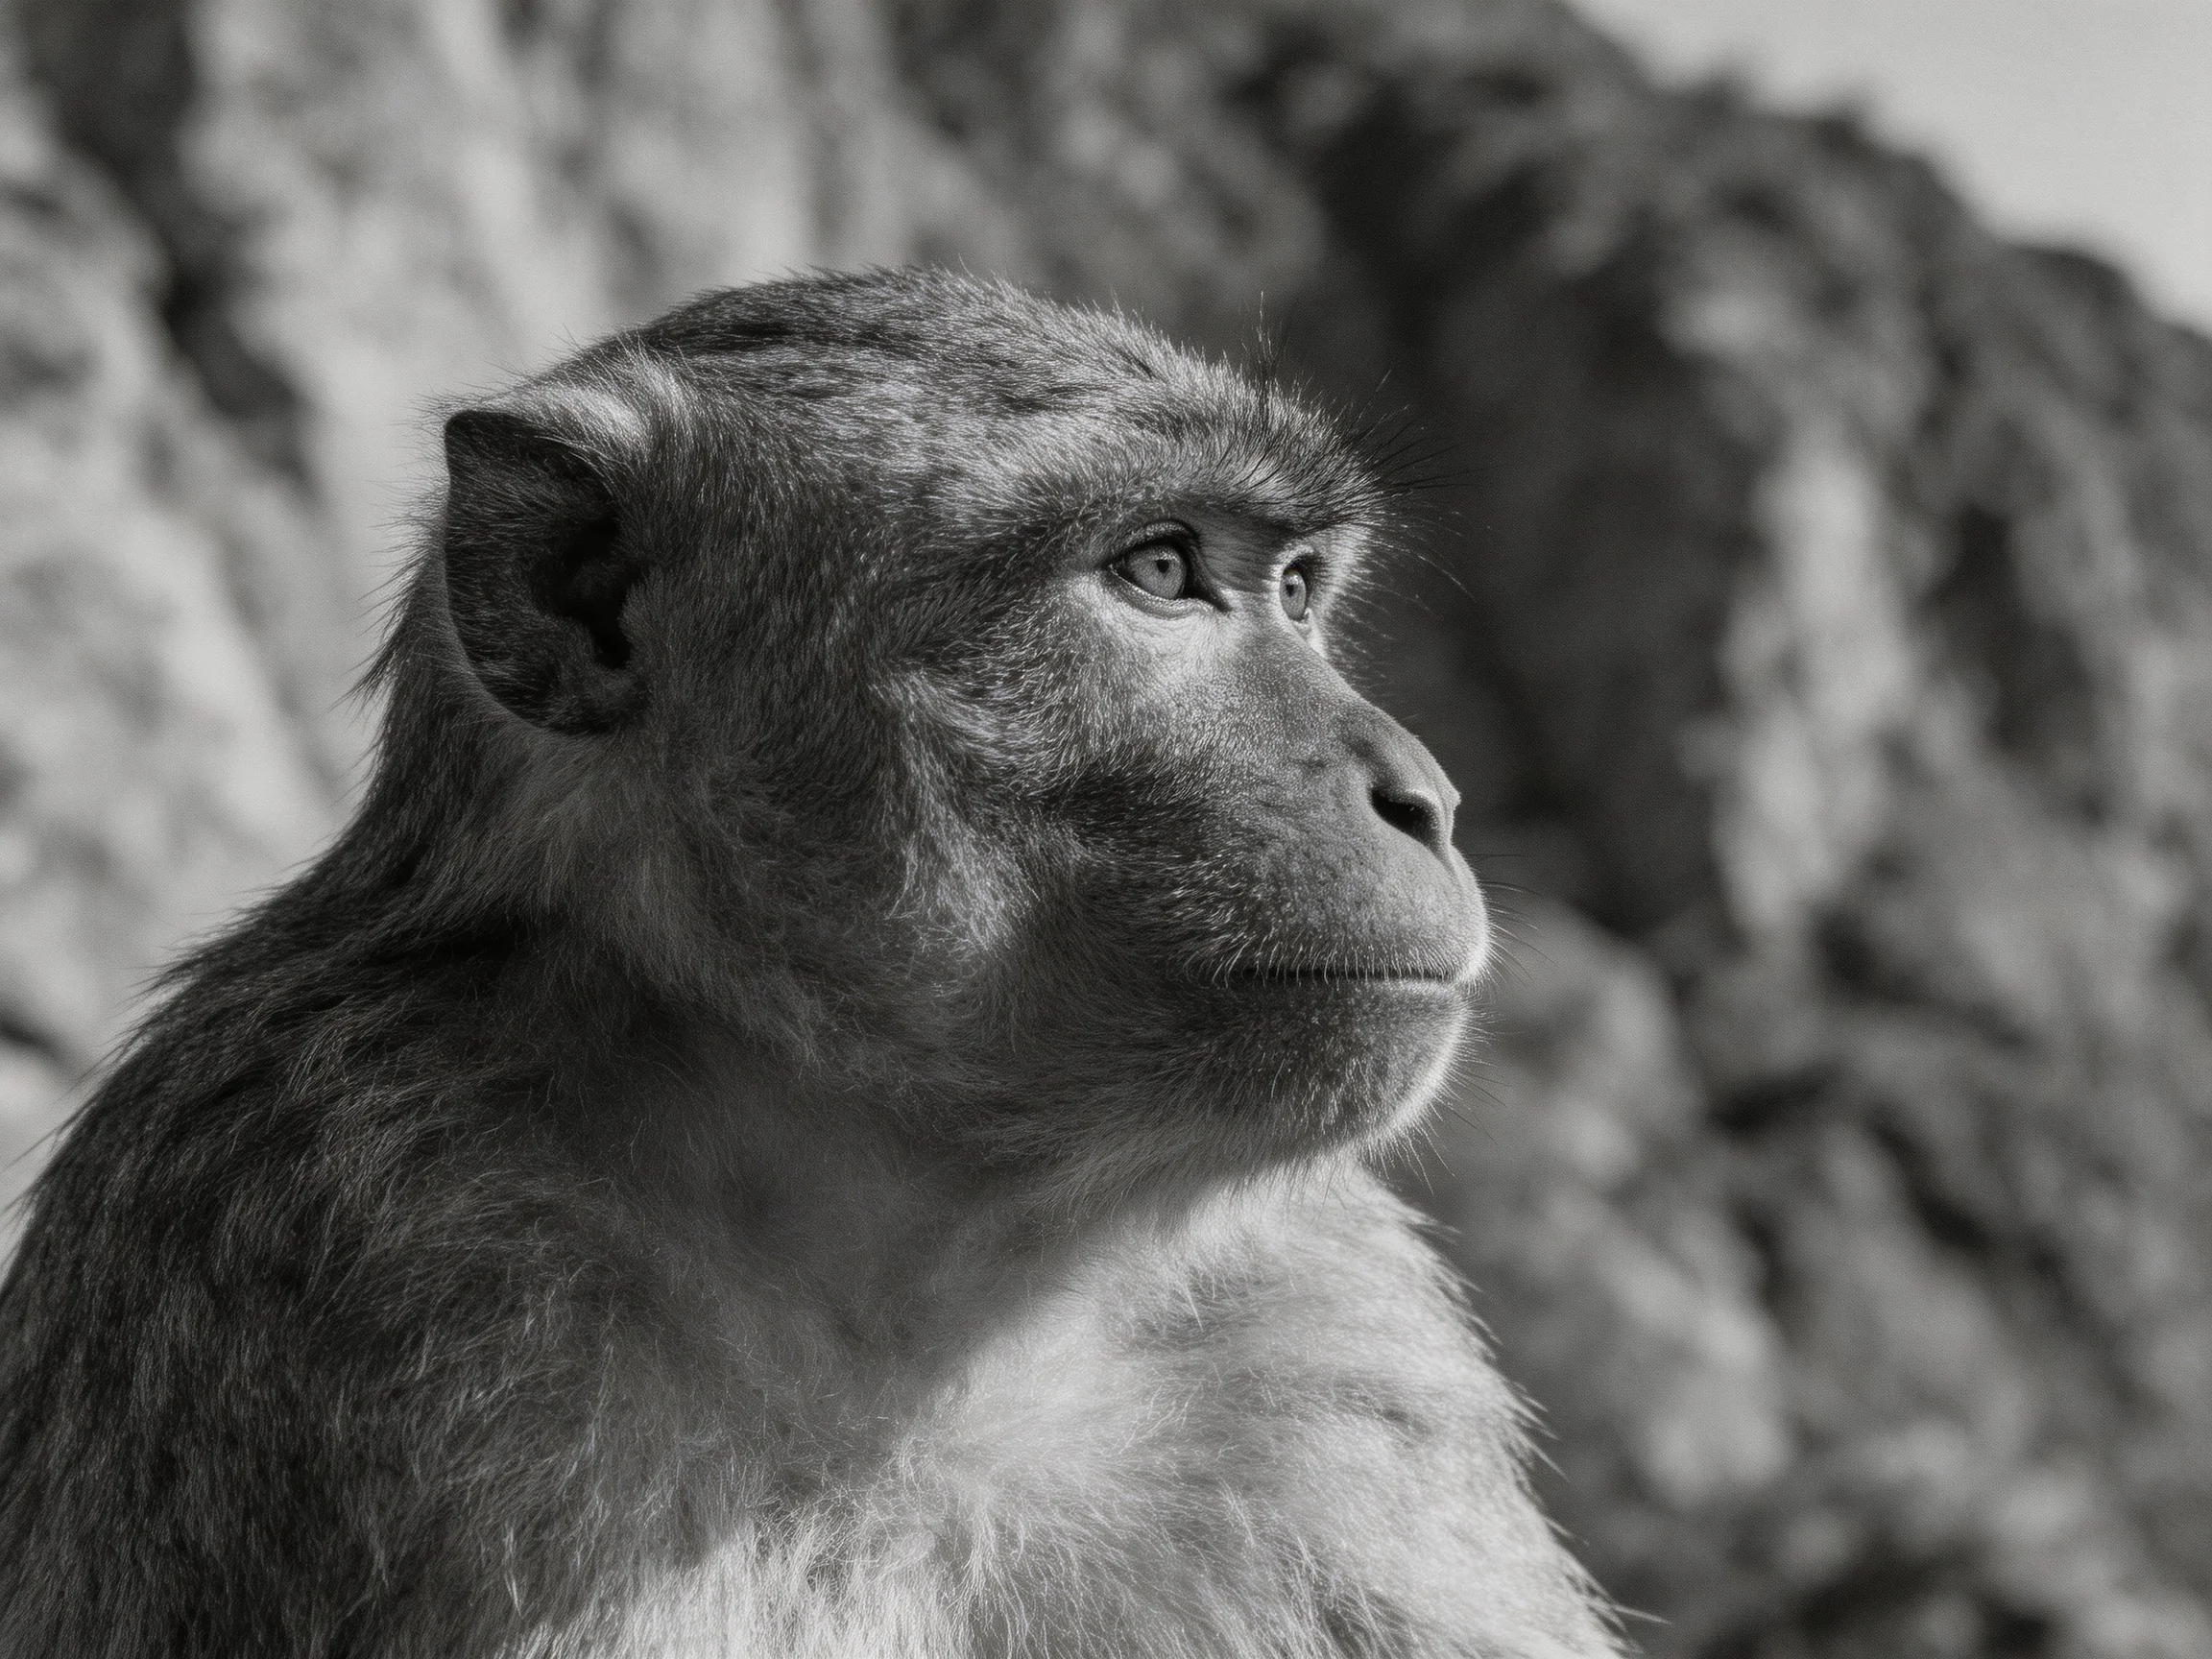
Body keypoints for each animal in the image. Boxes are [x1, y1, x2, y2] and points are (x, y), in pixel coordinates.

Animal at [0, 270, 1619, 1659]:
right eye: (1160, 570)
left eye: (1296, 589)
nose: (1426, 797)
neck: (921, 1291)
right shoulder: (339, 1225)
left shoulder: (1333, 1323)